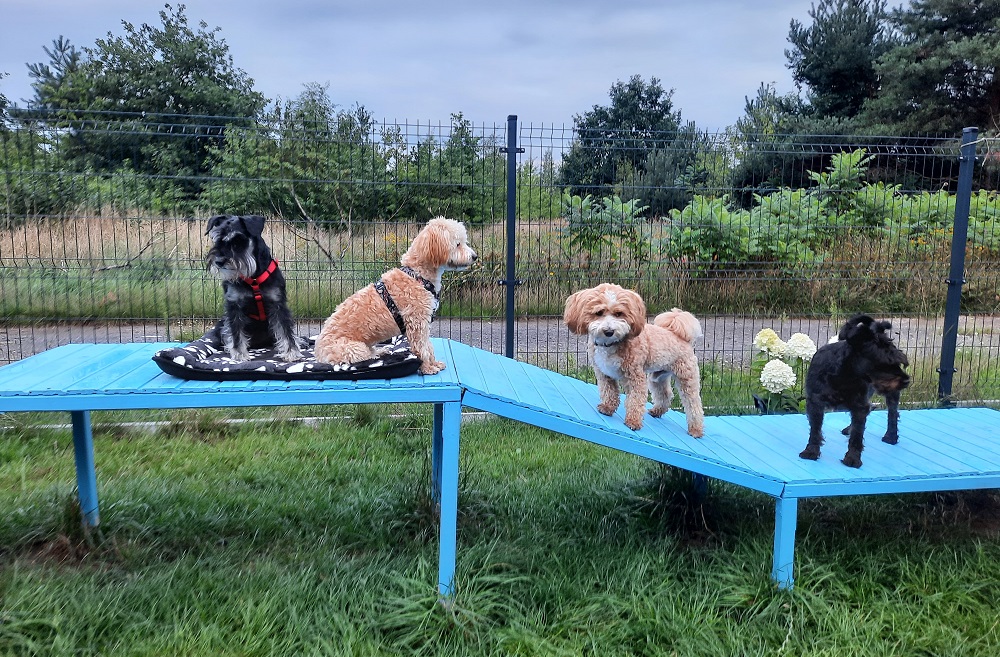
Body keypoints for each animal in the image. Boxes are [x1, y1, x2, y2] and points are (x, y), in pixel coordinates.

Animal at [206, 214, 303, 363]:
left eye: (238, 241)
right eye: (216, 240)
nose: (219, 261)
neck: (254, 278)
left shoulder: (278, 304)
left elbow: (285, 329)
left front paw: (291, 352)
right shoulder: (234, 306)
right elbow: (235, 331)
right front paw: (239, 354)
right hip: (221, 324)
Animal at [314, 217, 477, 375]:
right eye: (457, 244)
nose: (475, 256)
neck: (417, 275)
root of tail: (318, 352)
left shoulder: (424, 324)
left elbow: (429, 346)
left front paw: (434, 363)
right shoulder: (417, 324)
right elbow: (422, 348)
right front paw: (428, 368)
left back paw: (380, 351)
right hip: (355, 349)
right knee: (364, 356)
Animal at [563, 283, 705, 436]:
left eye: (619, 313)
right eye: (599, 312)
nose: (609, 331)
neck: (611, 344)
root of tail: (682, 337)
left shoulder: (635, 376)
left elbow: (635, 399)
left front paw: (633, 422)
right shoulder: (604, 373)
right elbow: (609, 392)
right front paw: (607, 408)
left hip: (687, 378)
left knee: (694, 404)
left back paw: (696, 430)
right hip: (657, 378)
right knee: (665, 394)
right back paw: (657, 411)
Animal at [798, 314, 911, 468]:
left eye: (899, 363)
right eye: (884, 362)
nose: (906, 381)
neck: (844, 375)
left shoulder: (859, 405)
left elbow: (857, 435)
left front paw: (852, 458)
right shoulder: (815, 402)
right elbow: (815, 430)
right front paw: (811, 451)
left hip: (891, 394)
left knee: (892, 412)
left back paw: (891, 436)